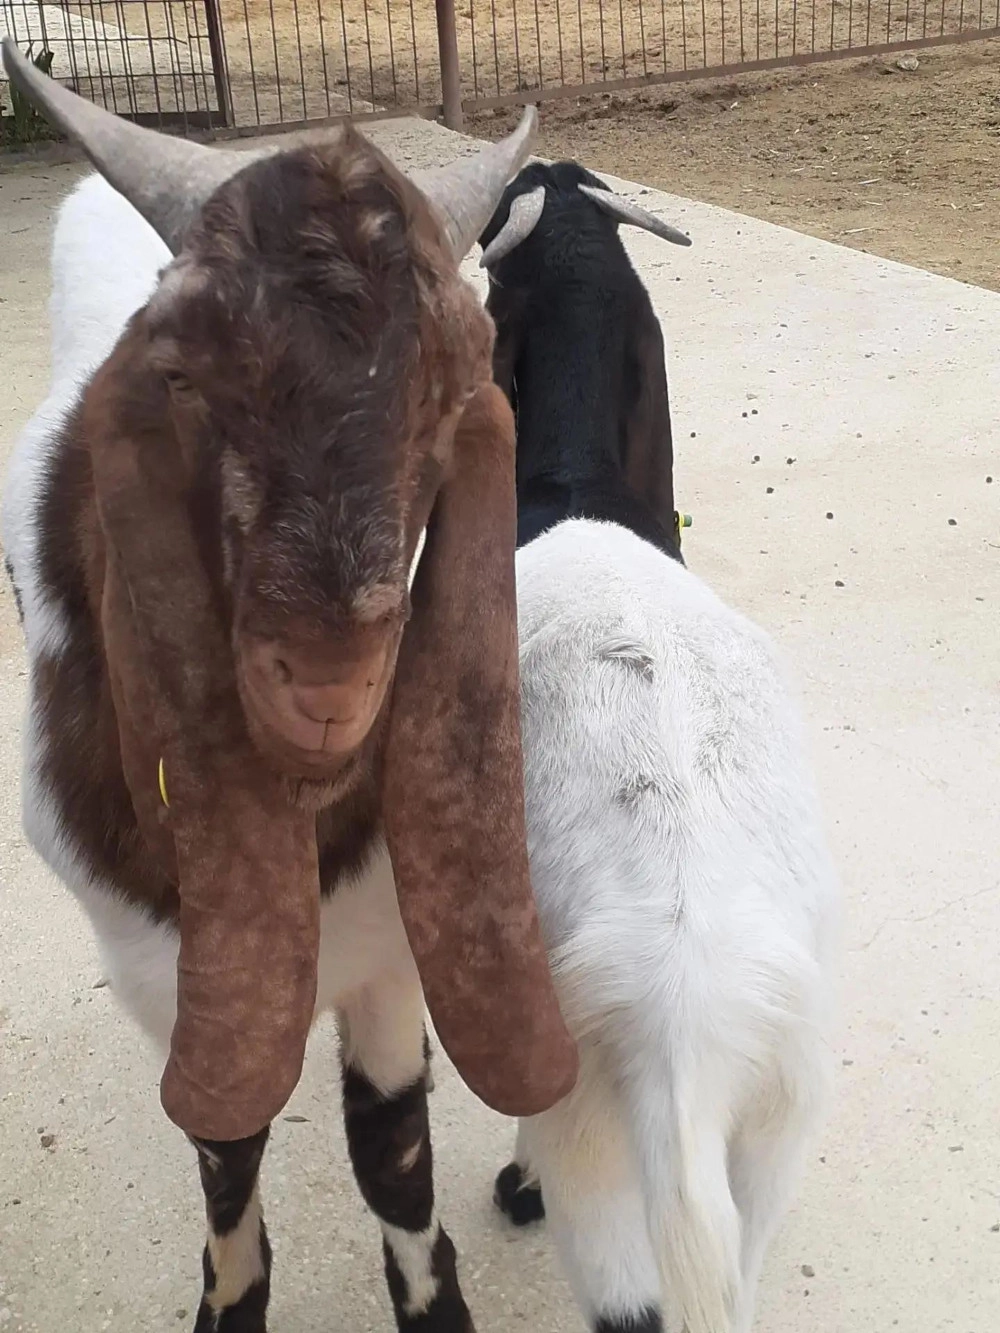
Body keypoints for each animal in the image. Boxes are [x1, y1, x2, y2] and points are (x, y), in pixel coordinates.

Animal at [2, 41, 578, 1332]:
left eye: (457, 389)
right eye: (178, 374)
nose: (327, 686)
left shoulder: (390, 948)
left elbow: (390, 1149)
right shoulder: (168, 974)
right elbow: (230, 1148)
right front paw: (229, 1298)